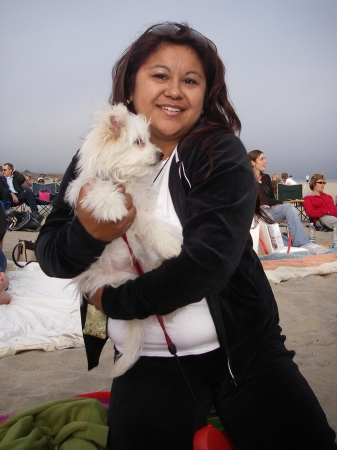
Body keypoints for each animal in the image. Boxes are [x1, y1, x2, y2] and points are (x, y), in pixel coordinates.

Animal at [66, 103, 181, 376]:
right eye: (138, 142)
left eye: (149, 139)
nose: (160, 154)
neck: (120, 177)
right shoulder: (88, 186)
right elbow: (99, 191)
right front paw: (112, 206)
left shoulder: (138, 209)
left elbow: (151, 224)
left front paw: (169, 244)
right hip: (117, 278)